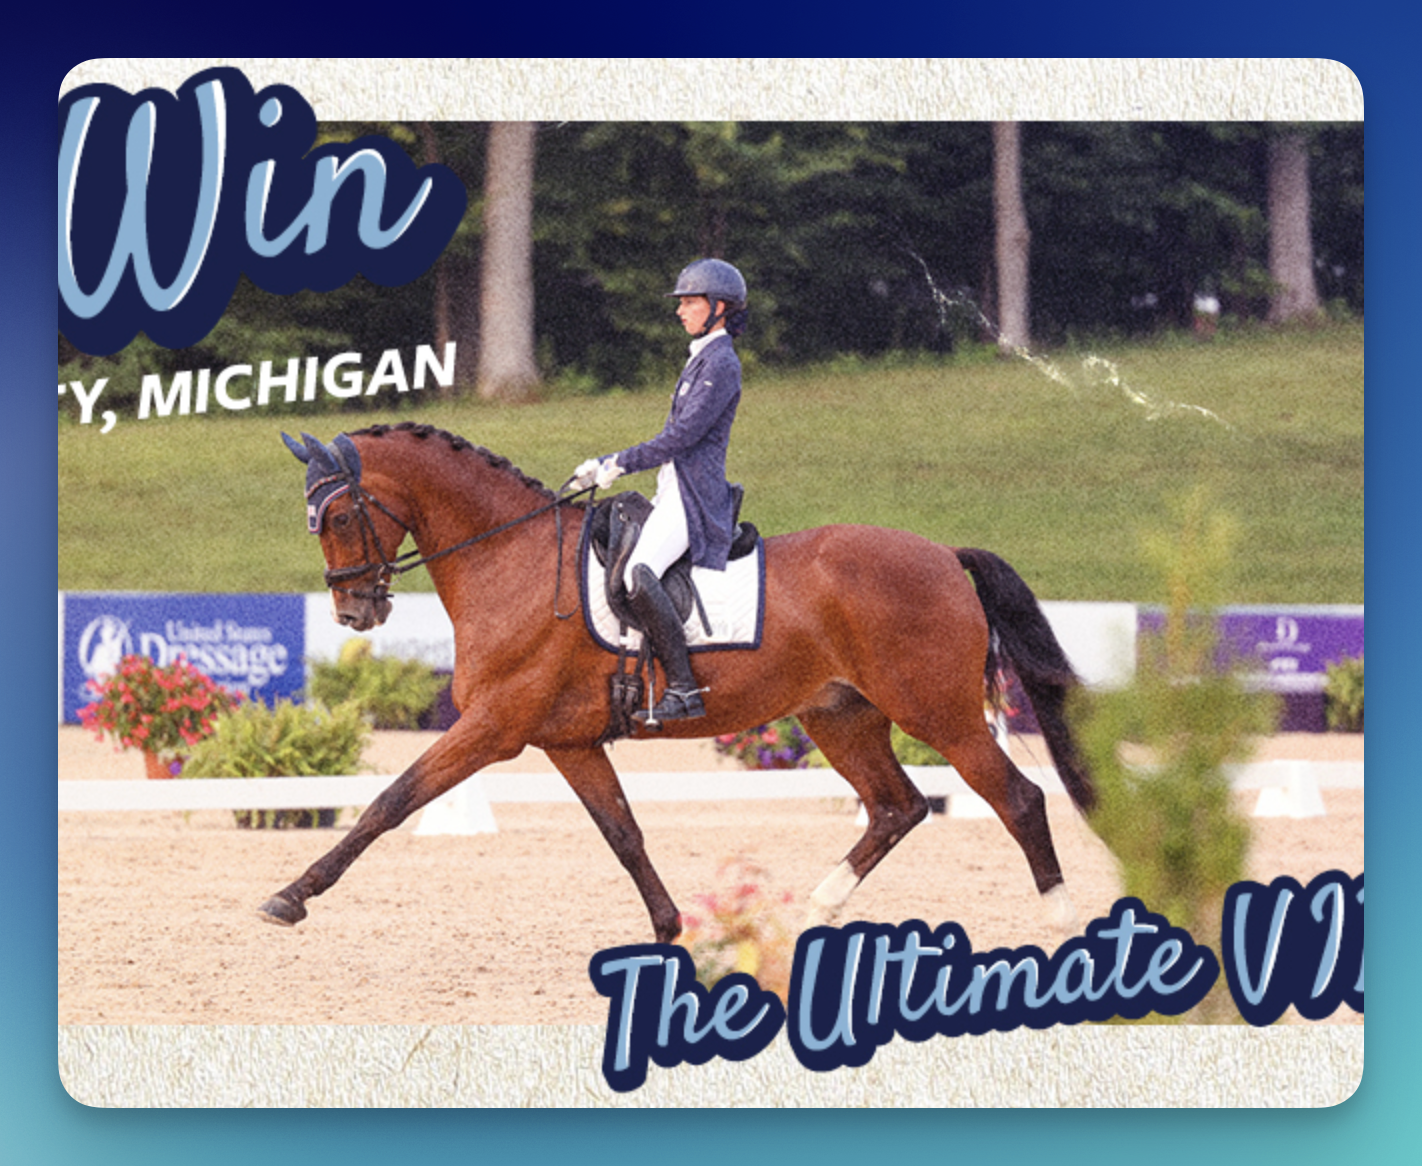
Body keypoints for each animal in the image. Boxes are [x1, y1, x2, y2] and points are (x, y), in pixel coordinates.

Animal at [260, 421, 1096, 944]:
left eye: (338, 516)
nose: (353, 610)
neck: (512, 559)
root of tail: (944, 554)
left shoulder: (494, 726)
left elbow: (389, 801)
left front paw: (290, 897)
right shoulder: (566, 741)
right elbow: (624, 833)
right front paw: (670, 929)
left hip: (937, 713)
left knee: (1018, 798)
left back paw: (1059, 924)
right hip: (841, 715)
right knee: (897, 807)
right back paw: (810, 914)